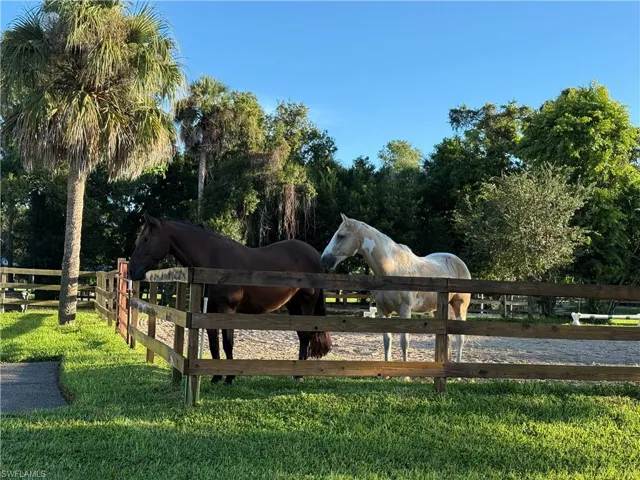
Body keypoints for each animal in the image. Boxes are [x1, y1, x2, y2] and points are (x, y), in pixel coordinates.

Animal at [128, 213, 333, 385]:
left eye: (146, 239)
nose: (131, 270)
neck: (213, 263)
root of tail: (316, 255)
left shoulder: (227, 310)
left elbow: (227, 343)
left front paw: (229, 377)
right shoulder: (209, 310)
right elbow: (214, 344)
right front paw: (216, 377)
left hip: (307, 303)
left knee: (305, 336)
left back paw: (299, 375)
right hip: (293, 304)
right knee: (301, 335)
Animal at [320, 214, 471, 364]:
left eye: (341, 236)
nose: (324, 260)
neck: (392, 269)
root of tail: (460, 263)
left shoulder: (405, 310)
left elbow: (404, 342)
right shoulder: (383, 310)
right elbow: (387, 341)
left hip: (460, 306)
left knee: (460, 338)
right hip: (437, 310)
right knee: (446, 338)